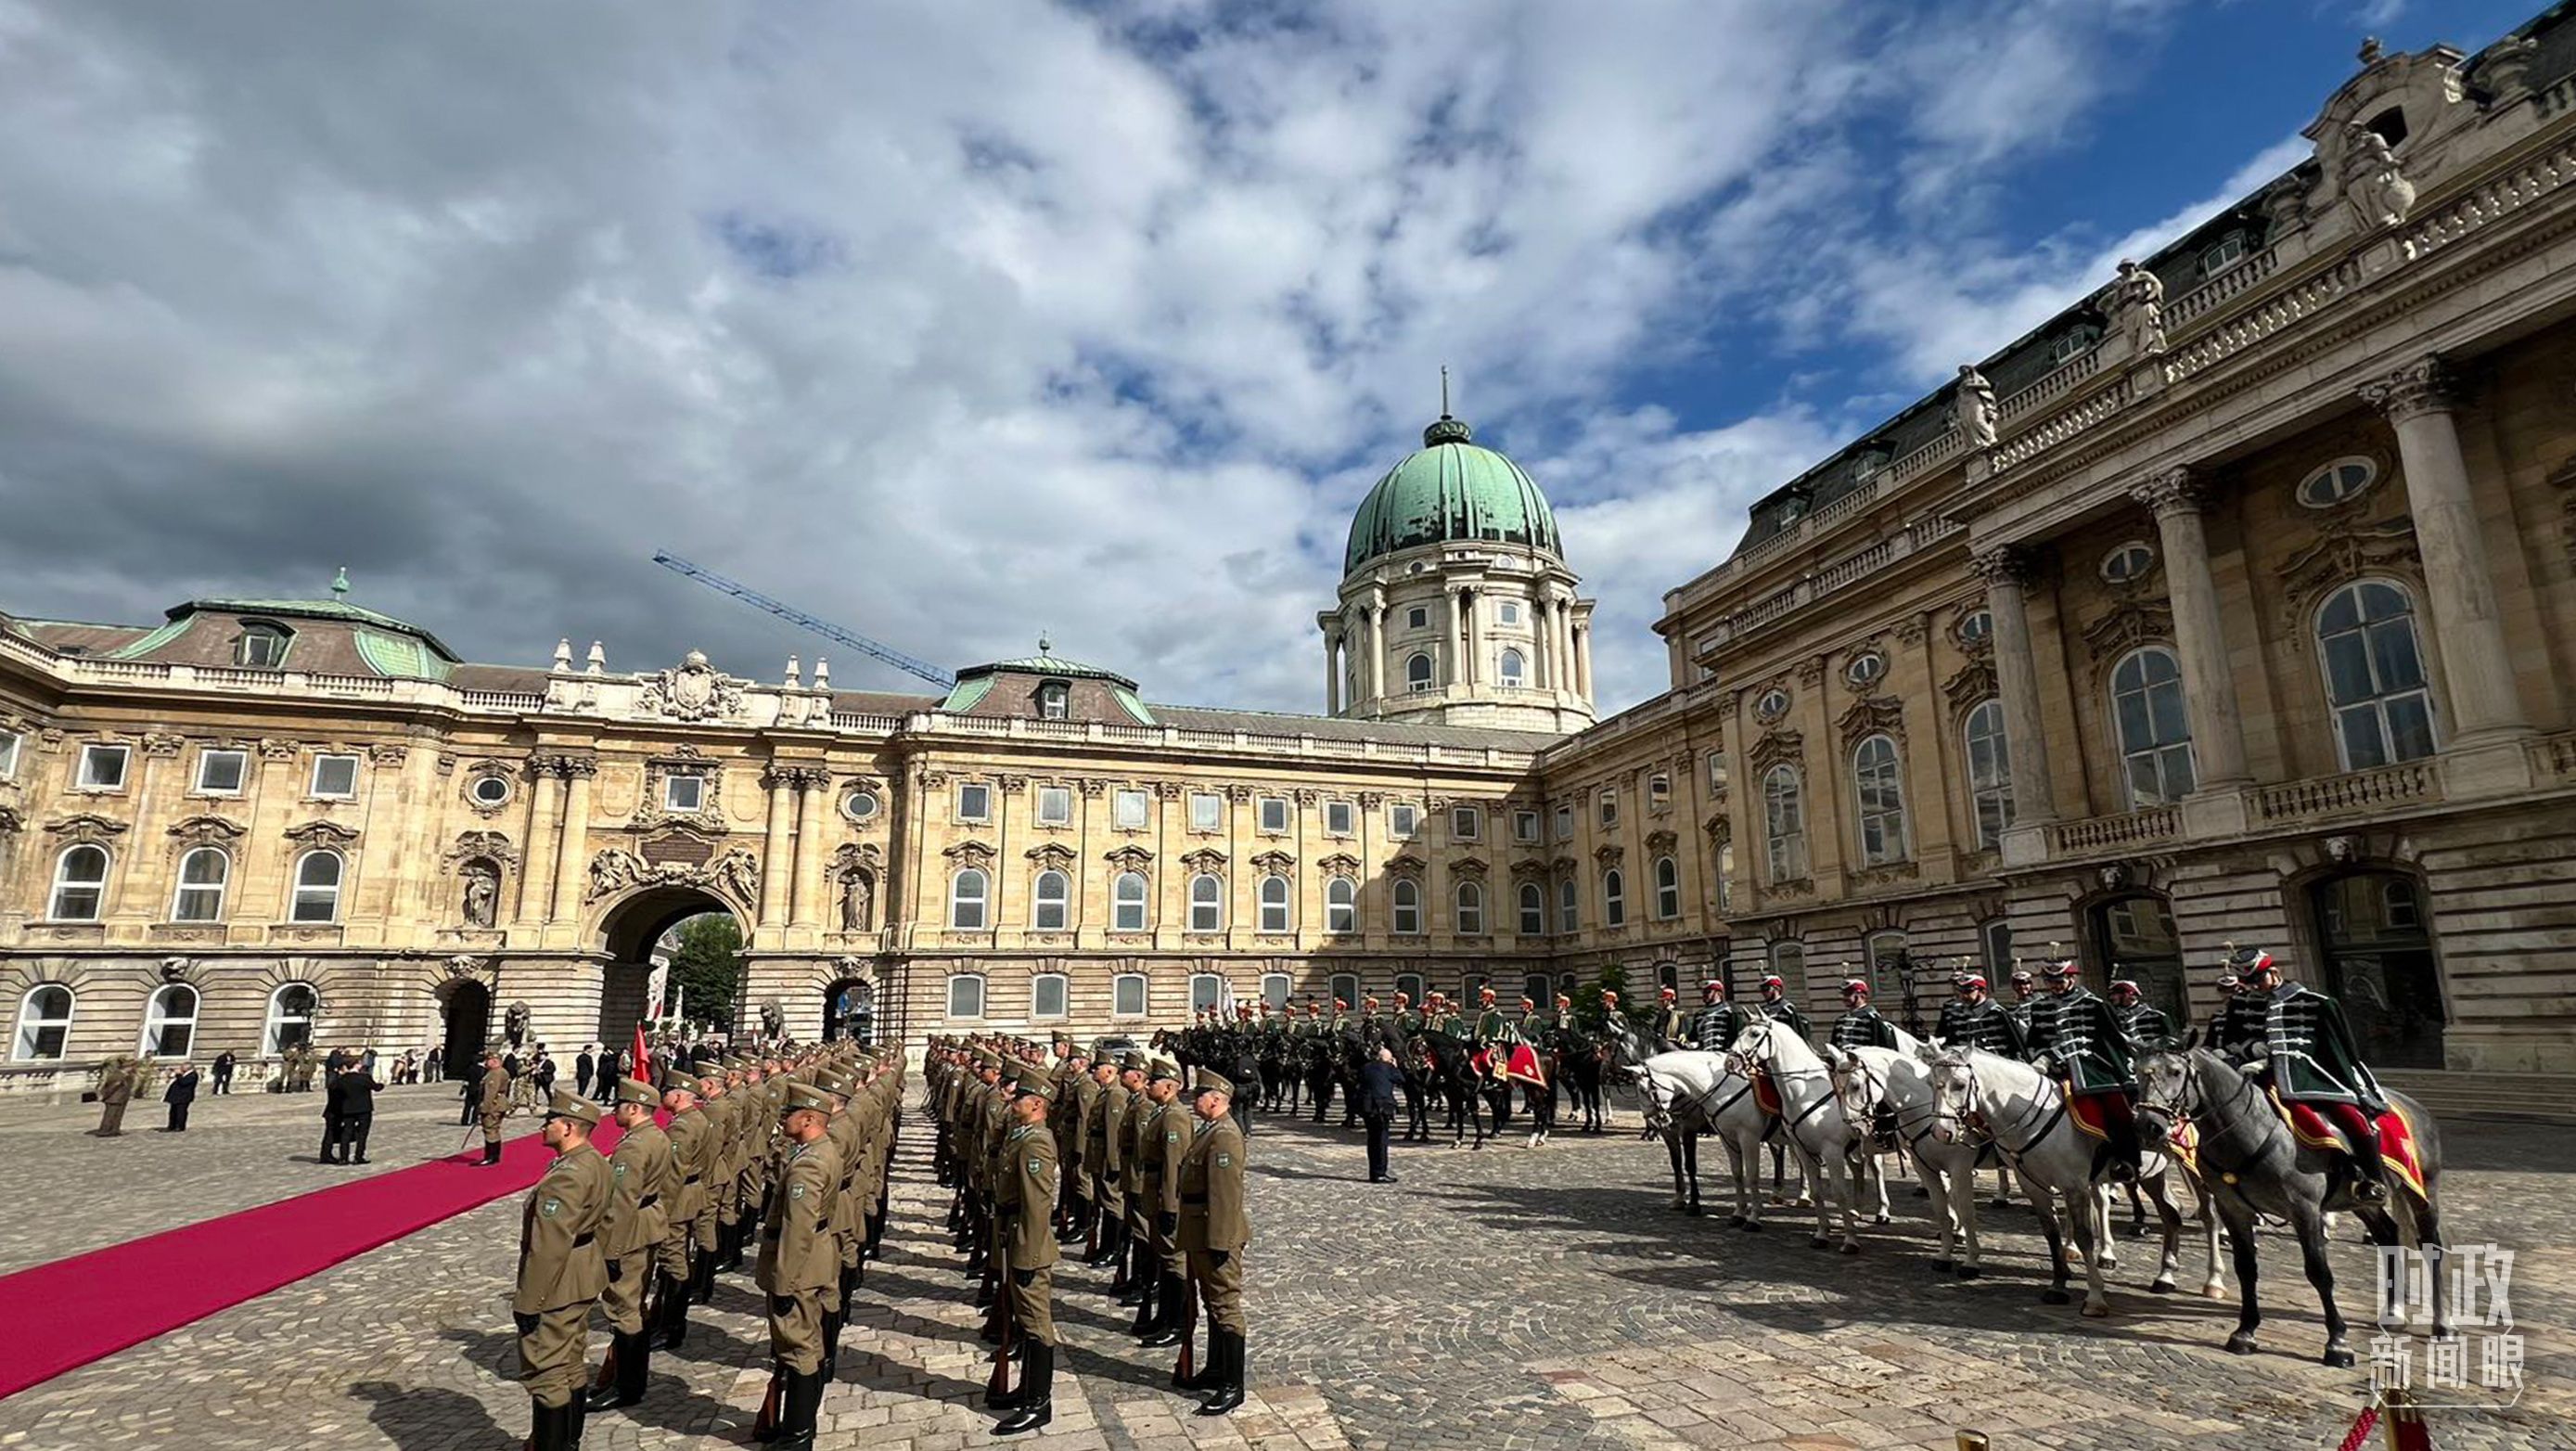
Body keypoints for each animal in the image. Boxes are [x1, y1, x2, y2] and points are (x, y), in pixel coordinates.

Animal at [1927, 1046, 2225, 1319]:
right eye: (1931, 1083)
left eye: (1960, 1084)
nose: (1942, 1132)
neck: (2030, 1117)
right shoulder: (2034, 1186)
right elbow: (2051, 1234)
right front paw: (2058, 1286)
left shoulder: (2074, 1186)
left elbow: (2084, 1237)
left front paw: (2094, 1297)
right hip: (2153, 1172)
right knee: (2171, 1214)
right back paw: (2165, 1276)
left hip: (2195, 1168)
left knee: (2209, 1216)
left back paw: (2214, 1280)